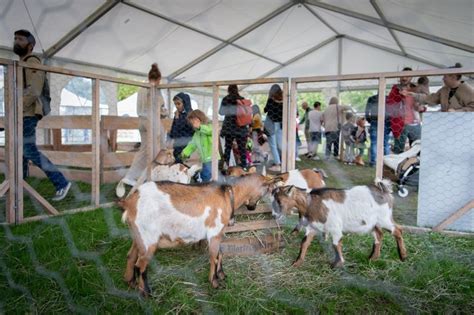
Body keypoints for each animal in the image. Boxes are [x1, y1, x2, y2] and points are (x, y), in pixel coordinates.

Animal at [118, 174, 280, 298]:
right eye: (268, 191)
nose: (252, 207)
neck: (229, 194)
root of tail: (129, 202)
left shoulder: (218, 234)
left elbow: (220, 254)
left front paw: (222, 275)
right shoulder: (214, 233)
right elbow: (214, 257)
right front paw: (215, 283)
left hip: (139, 236)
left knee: (131, 256)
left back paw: (130, 282)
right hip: (149, 239)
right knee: (141, 265)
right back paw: (146, 293)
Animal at [274, 180, 408, 270]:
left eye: (279, 200)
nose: (274, 215)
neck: (311, 203)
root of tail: (384, 190)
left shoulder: (335, 227)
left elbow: (335, 244)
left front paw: (337, 264)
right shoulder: (312, 228)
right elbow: (304, 243)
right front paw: (297, 263)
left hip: (384, 219)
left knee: (398, 230)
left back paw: (403, 256)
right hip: (372, 223)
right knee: (379, 234)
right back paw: (372, 258)